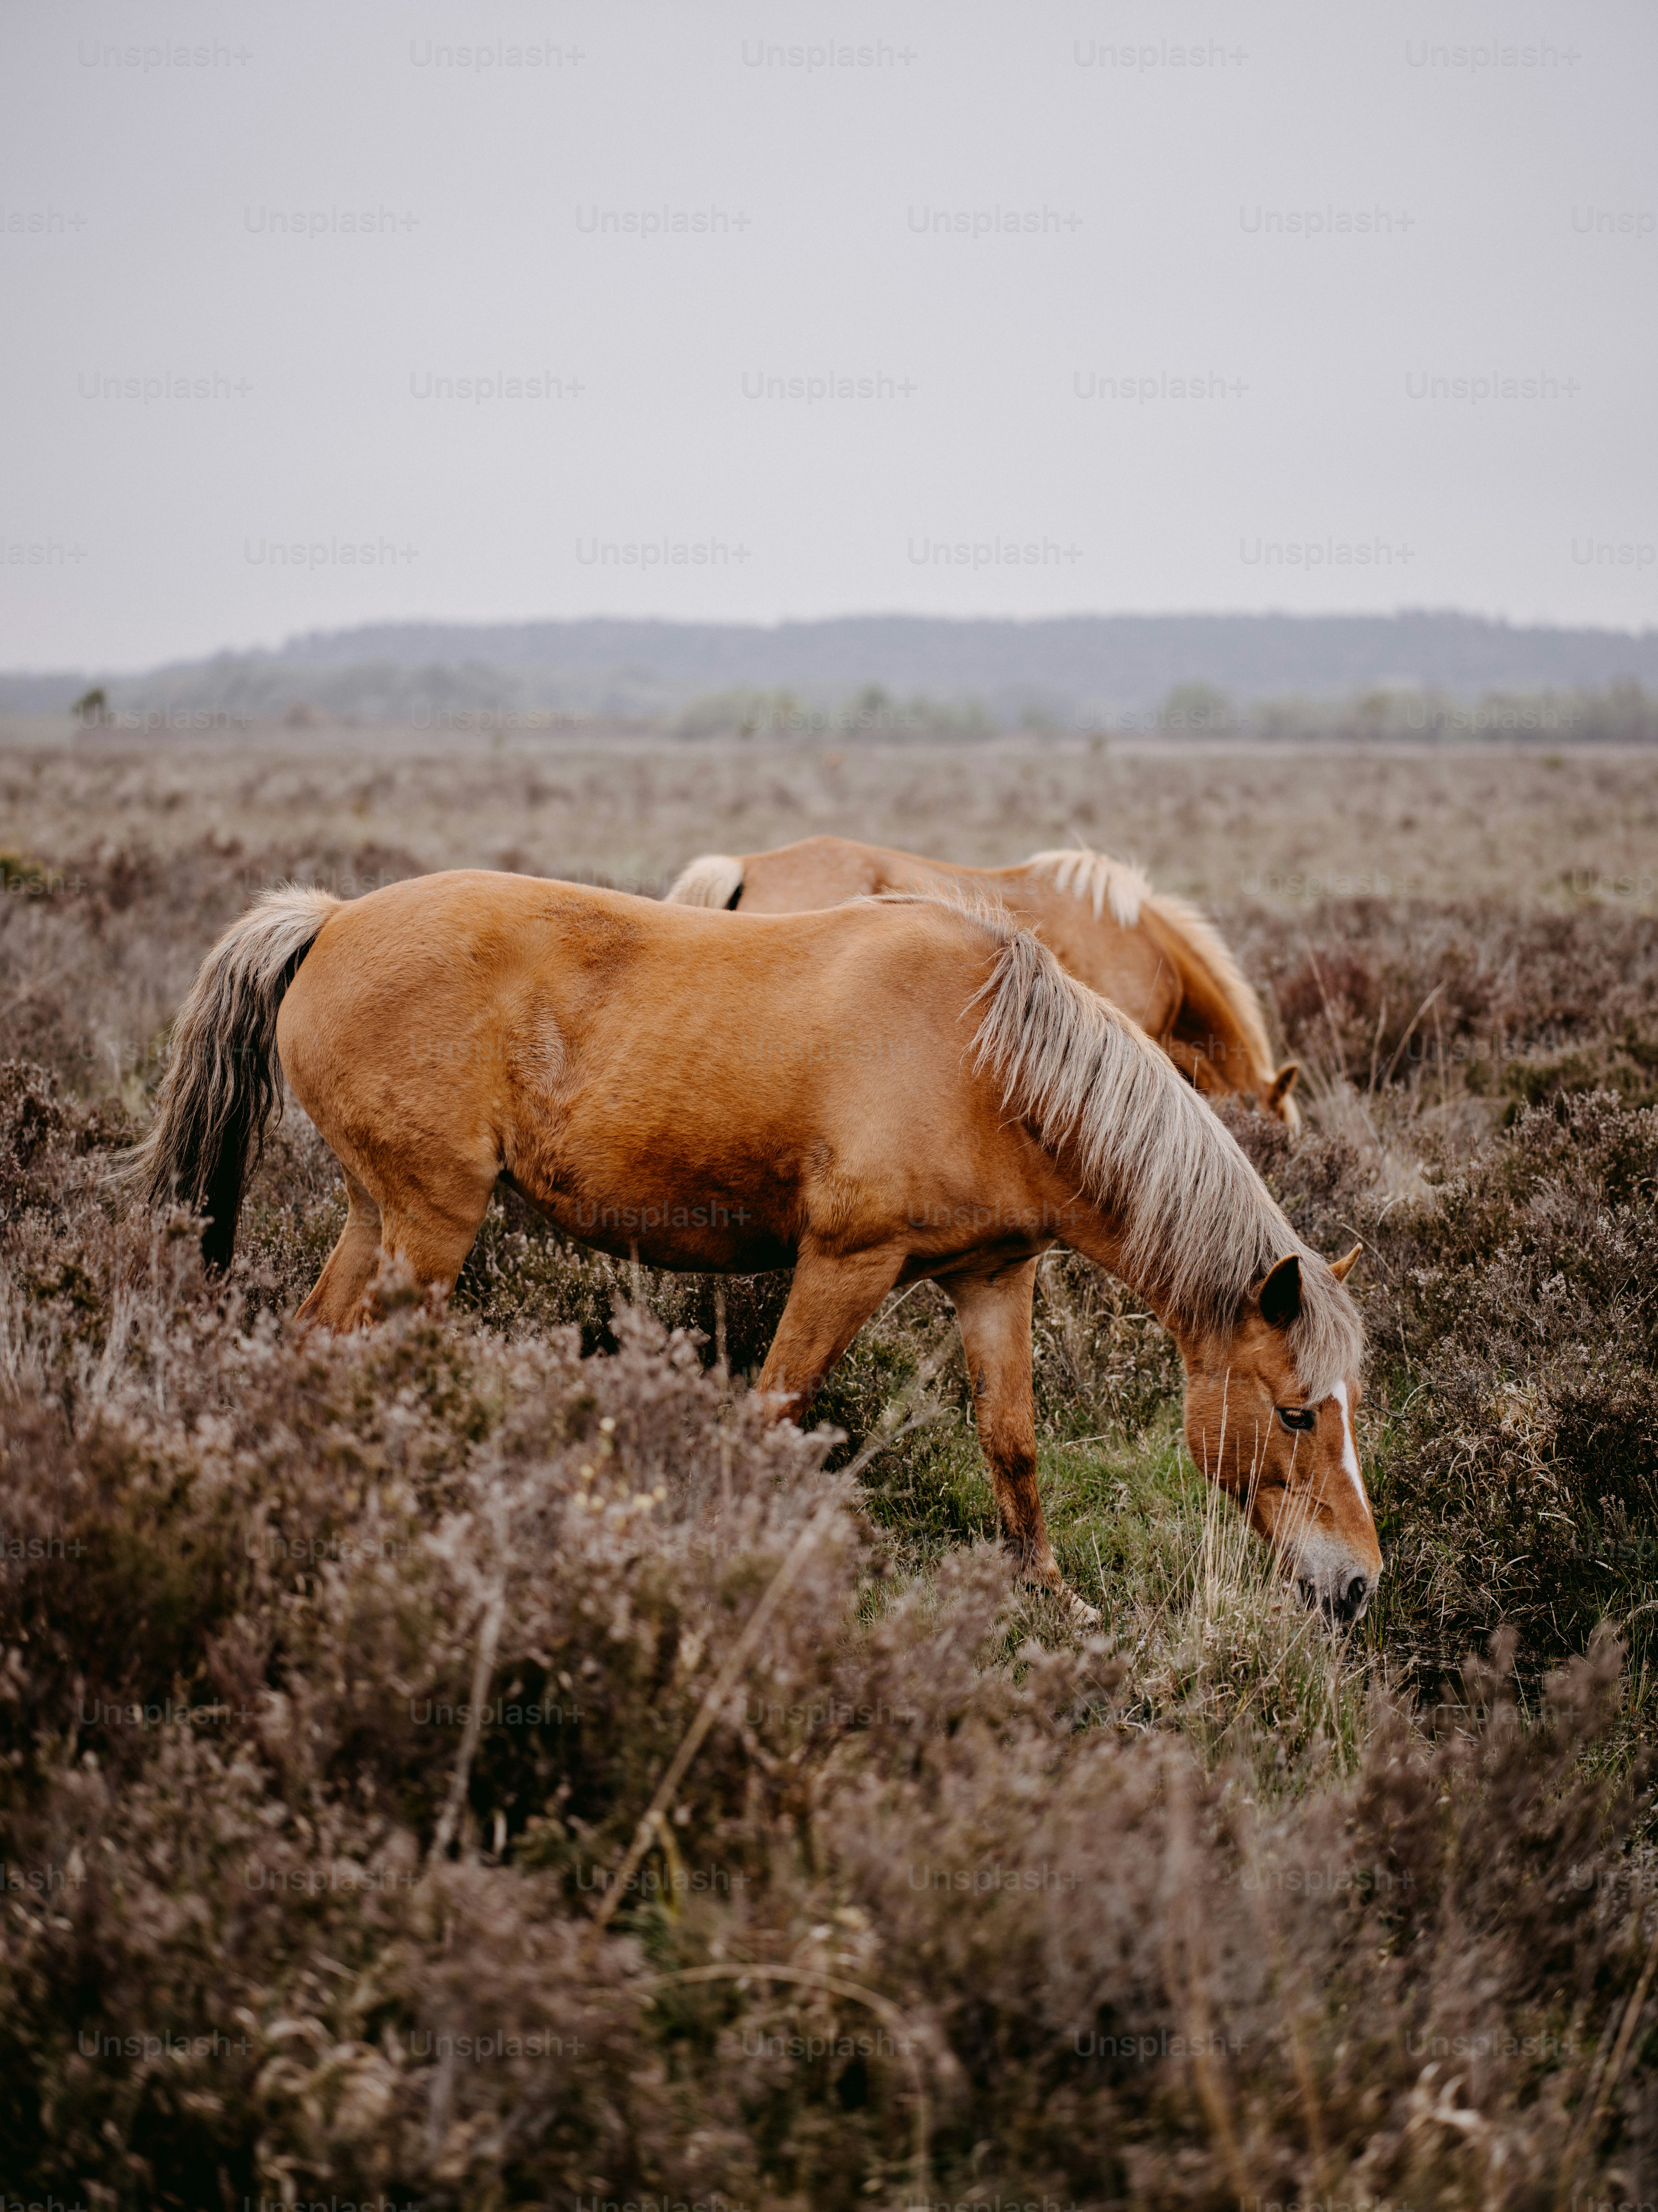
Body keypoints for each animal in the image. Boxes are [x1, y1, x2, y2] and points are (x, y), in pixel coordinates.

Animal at [127, 873, 1378, 1623]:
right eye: (1292, 1415)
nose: (1358, 1585)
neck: (990, 1060)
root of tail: (332, 917)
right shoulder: (844, 1265)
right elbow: (772, 1413)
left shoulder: (991, 1278)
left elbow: (1011, 1444)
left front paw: (1050, 1595)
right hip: (427, 1227)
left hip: (375, 1216)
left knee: (312, 1344)